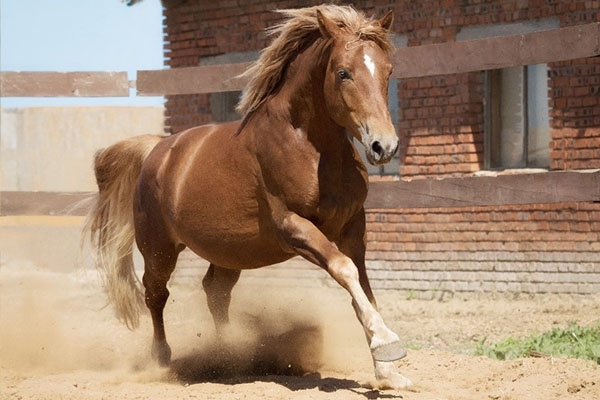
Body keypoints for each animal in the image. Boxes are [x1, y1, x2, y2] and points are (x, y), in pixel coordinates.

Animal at [85, 3, 412, 388]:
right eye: (343, 73)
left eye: (388, 71)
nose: (383, 146)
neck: (310, 148)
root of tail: (155, 150)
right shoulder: (293, 227)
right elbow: (345, 270)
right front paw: (387, 344)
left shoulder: (353, 226)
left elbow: (362, 286)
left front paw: (387, 370)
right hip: (159, 248)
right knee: (155, 293)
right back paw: (163, 360)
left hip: (228, 251)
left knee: (215, 292)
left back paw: (228, 355)